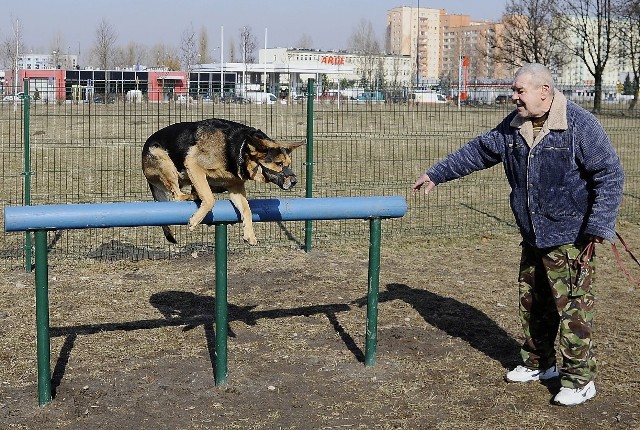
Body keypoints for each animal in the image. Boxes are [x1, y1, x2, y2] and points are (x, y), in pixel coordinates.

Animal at [144, 117, 304, 245]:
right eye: (279, 164)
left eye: (288, 164)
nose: (295, 181)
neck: (239, 149)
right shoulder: (193, 165)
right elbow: (210, 199)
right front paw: (195, 220)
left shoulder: (236, 189)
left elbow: (247, 209)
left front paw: (249, 234)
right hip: (162, 156)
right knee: (177, 195)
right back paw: (191, 196)